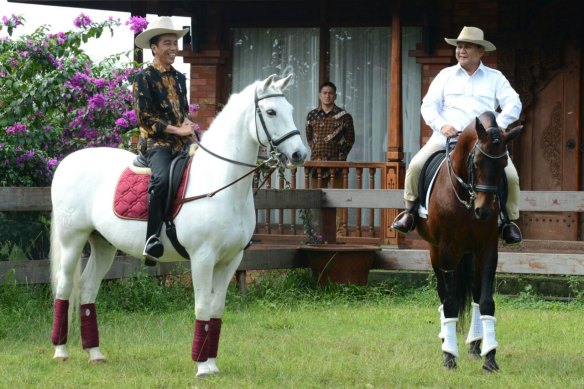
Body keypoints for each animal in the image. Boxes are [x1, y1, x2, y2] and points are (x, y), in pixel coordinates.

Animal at [49, 74, 306, 378]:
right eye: (271, 112)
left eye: (290, 109)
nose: (300, 154)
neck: (219, 181)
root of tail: (67, 162)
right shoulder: (203, 258)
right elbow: (203, 307)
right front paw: (202, 367)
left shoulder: (231, 260)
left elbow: (216, 308)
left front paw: (212, 364)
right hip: (72, 240)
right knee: (64, 287)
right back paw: (60, 351)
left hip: (103, 244)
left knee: (88, 289)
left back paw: (95, 354)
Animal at [418, 110, 524, 372]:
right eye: (476, 162)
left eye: (503, 164)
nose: (484, 211)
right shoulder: (446, 249)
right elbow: (450, 302)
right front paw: (449, 357)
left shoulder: (487, 249)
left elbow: (486, 302)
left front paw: (490, 358)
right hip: (436, 251)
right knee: (443, 293)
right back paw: (446, 340)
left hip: (470, 254)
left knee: (475, 293)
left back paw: (476, 345)